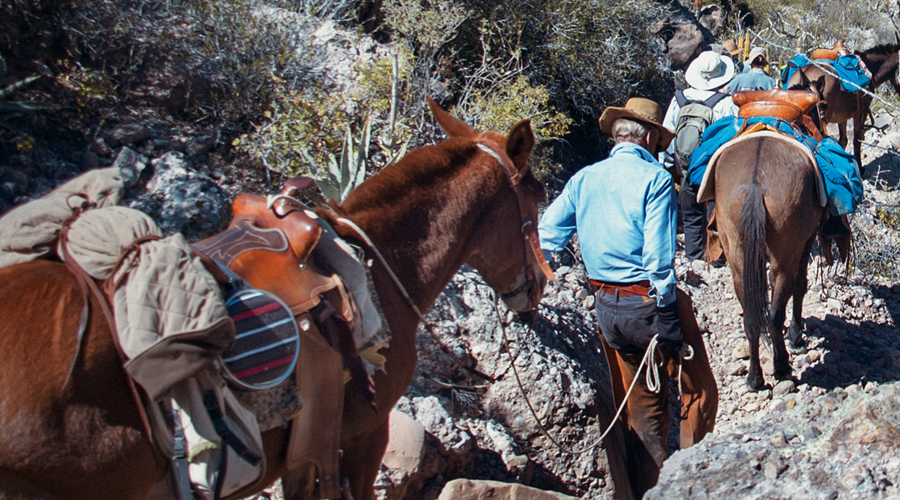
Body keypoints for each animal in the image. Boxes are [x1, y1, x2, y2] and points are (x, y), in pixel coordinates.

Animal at [712, 131, 828, 388]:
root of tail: (755, 184)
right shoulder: (807, 242)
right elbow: (800, 286)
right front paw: (795, 335)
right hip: (786, 256)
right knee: (776, 312)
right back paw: (782, 365)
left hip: (738, 259)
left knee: (752, 318)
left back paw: (754, 377)